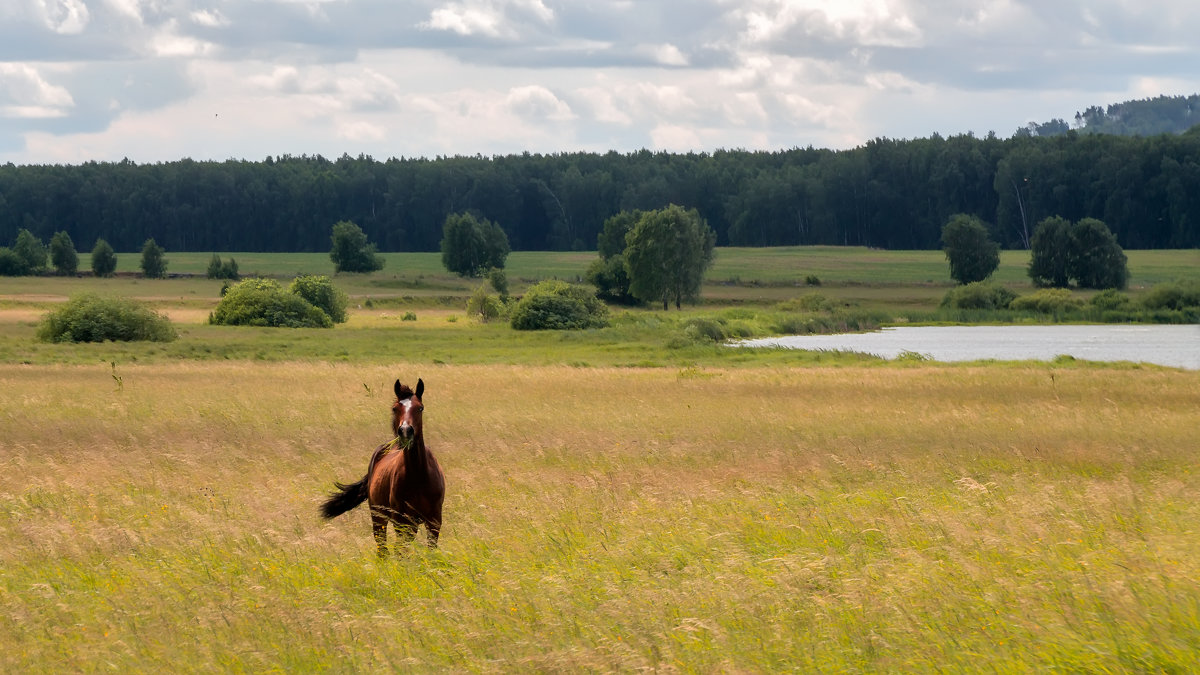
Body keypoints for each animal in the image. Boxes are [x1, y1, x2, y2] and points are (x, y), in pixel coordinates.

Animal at [319, 379, 446, 552]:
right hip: (379, 518)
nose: (405, 431)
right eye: (395, 408)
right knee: (383, 550)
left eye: (420, 407)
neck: (419, 475)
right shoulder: (402, 522)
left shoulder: (434, 522)